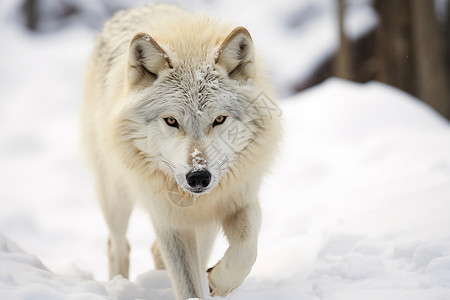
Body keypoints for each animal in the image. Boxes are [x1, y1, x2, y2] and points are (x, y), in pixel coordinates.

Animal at [79, 3, 280, 298]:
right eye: (172, 121)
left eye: (219, 119)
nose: (198, 177)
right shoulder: (168, 221)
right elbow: (188, 284)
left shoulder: (239, 199)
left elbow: (245, 251)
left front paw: (218, 281)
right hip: (115, 197)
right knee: (117, 245)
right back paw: (118, 285)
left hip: (204, 228)